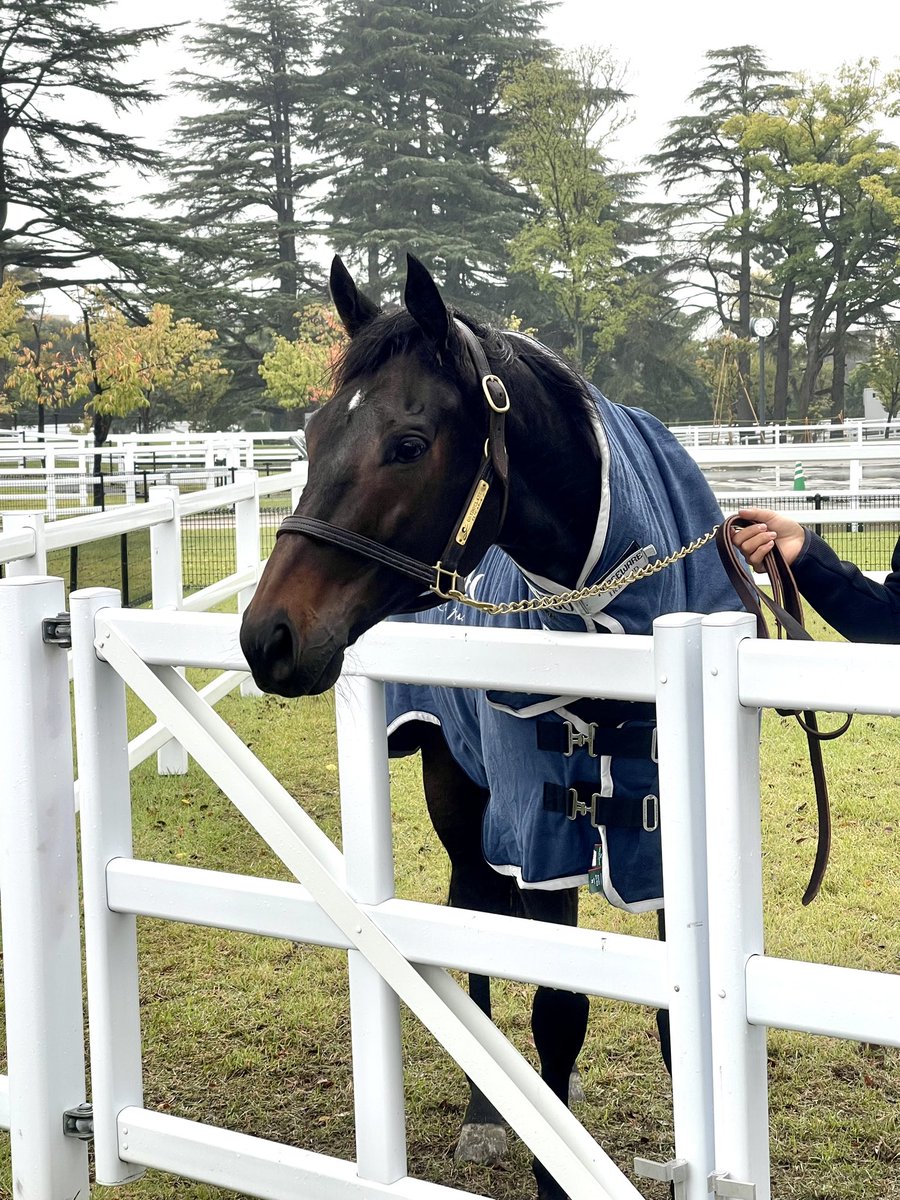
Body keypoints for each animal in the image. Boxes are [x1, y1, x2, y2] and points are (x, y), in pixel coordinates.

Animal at [240, 253, 742, 1200]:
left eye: (407, 444)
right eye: (311, 436)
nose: (267, 637)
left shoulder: (664, 837)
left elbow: (670, 1024)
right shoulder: (540, 823)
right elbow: (557, 1007)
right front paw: (556, 1165)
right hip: (460, 790)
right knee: (475, 913)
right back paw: (489, 1111)